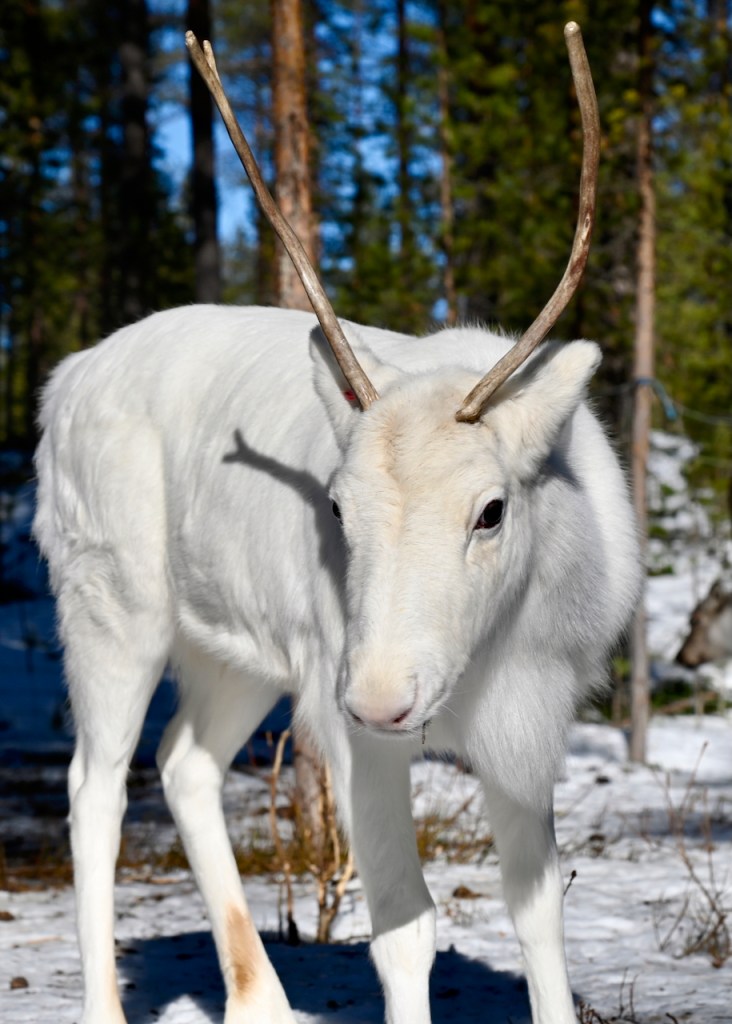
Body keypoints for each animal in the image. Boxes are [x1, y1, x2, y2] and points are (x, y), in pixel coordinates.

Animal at [32, 22, 640, 1024]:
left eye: (491, 510)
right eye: (336, 506)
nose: (383, 697)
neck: (496, 649)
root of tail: (62, 380)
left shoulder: (529, 722)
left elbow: (541, 913)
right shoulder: (347, 723)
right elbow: (404, 930)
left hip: (237, 655)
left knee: (184, 763)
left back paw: (260, 1001)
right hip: (112, 611)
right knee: (96, 789)